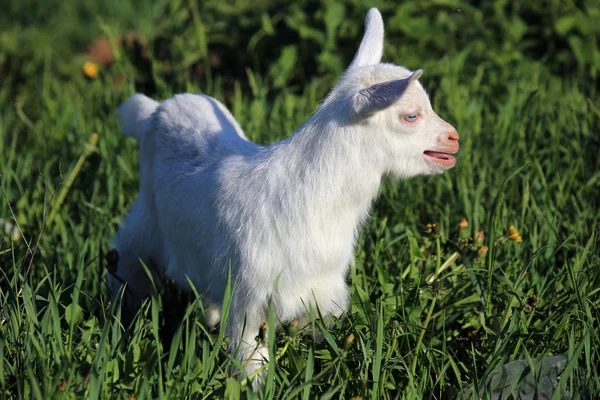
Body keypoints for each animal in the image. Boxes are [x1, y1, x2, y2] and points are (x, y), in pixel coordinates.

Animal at [109, 6, 460, 388]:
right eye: (410, 115)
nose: (454, 138)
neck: (311, 196)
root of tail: (156, 109)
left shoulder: (320, 294)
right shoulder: (250, 297)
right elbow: (251, 362)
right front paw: (257, 387)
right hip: (145, 226)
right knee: (126, 258)